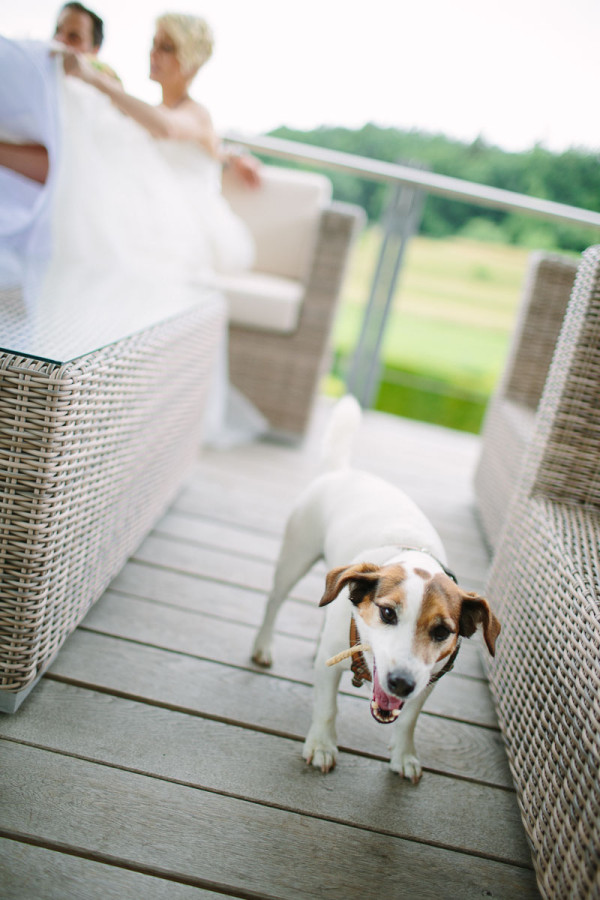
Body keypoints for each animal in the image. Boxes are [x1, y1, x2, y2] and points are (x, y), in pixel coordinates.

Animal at [251, 394, 500, 780]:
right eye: (386, 613)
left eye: (442, 631)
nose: (401, 683)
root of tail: (343, 471)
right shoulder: (330, 674)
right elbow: (327, 709)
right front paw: (322, 746)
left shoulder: (428, 682)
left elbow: (409, 721)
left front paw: (404, 754)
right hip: (294, 557)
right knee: (274, 603)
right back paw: (263, 645)